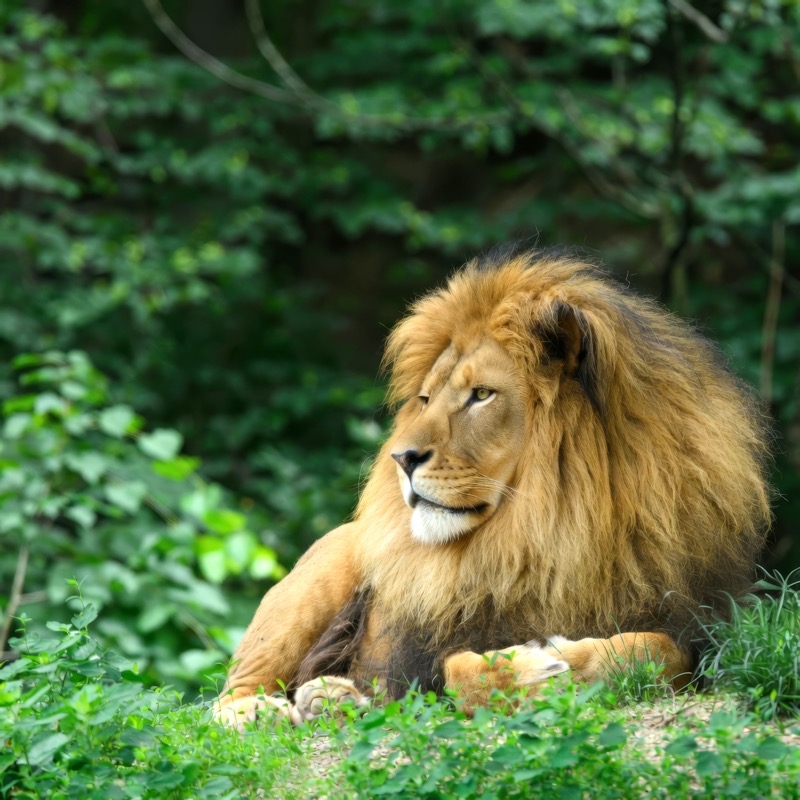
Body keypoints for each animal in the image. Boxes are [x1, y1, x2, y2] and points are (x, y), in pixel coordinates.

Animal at [215, 246, 771, 728]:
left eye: (481, 395)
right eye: (425, 398)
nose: (401, 458)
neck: (543, 536)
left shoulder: (694, 627)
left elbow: (650, 651)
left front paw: (567, 659)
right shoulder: (423, 657)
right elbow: (458, 670)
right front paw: (536, 671)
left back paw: (331, 698)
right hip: (317, 575)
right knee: (229, 692)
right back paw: (262, 711)